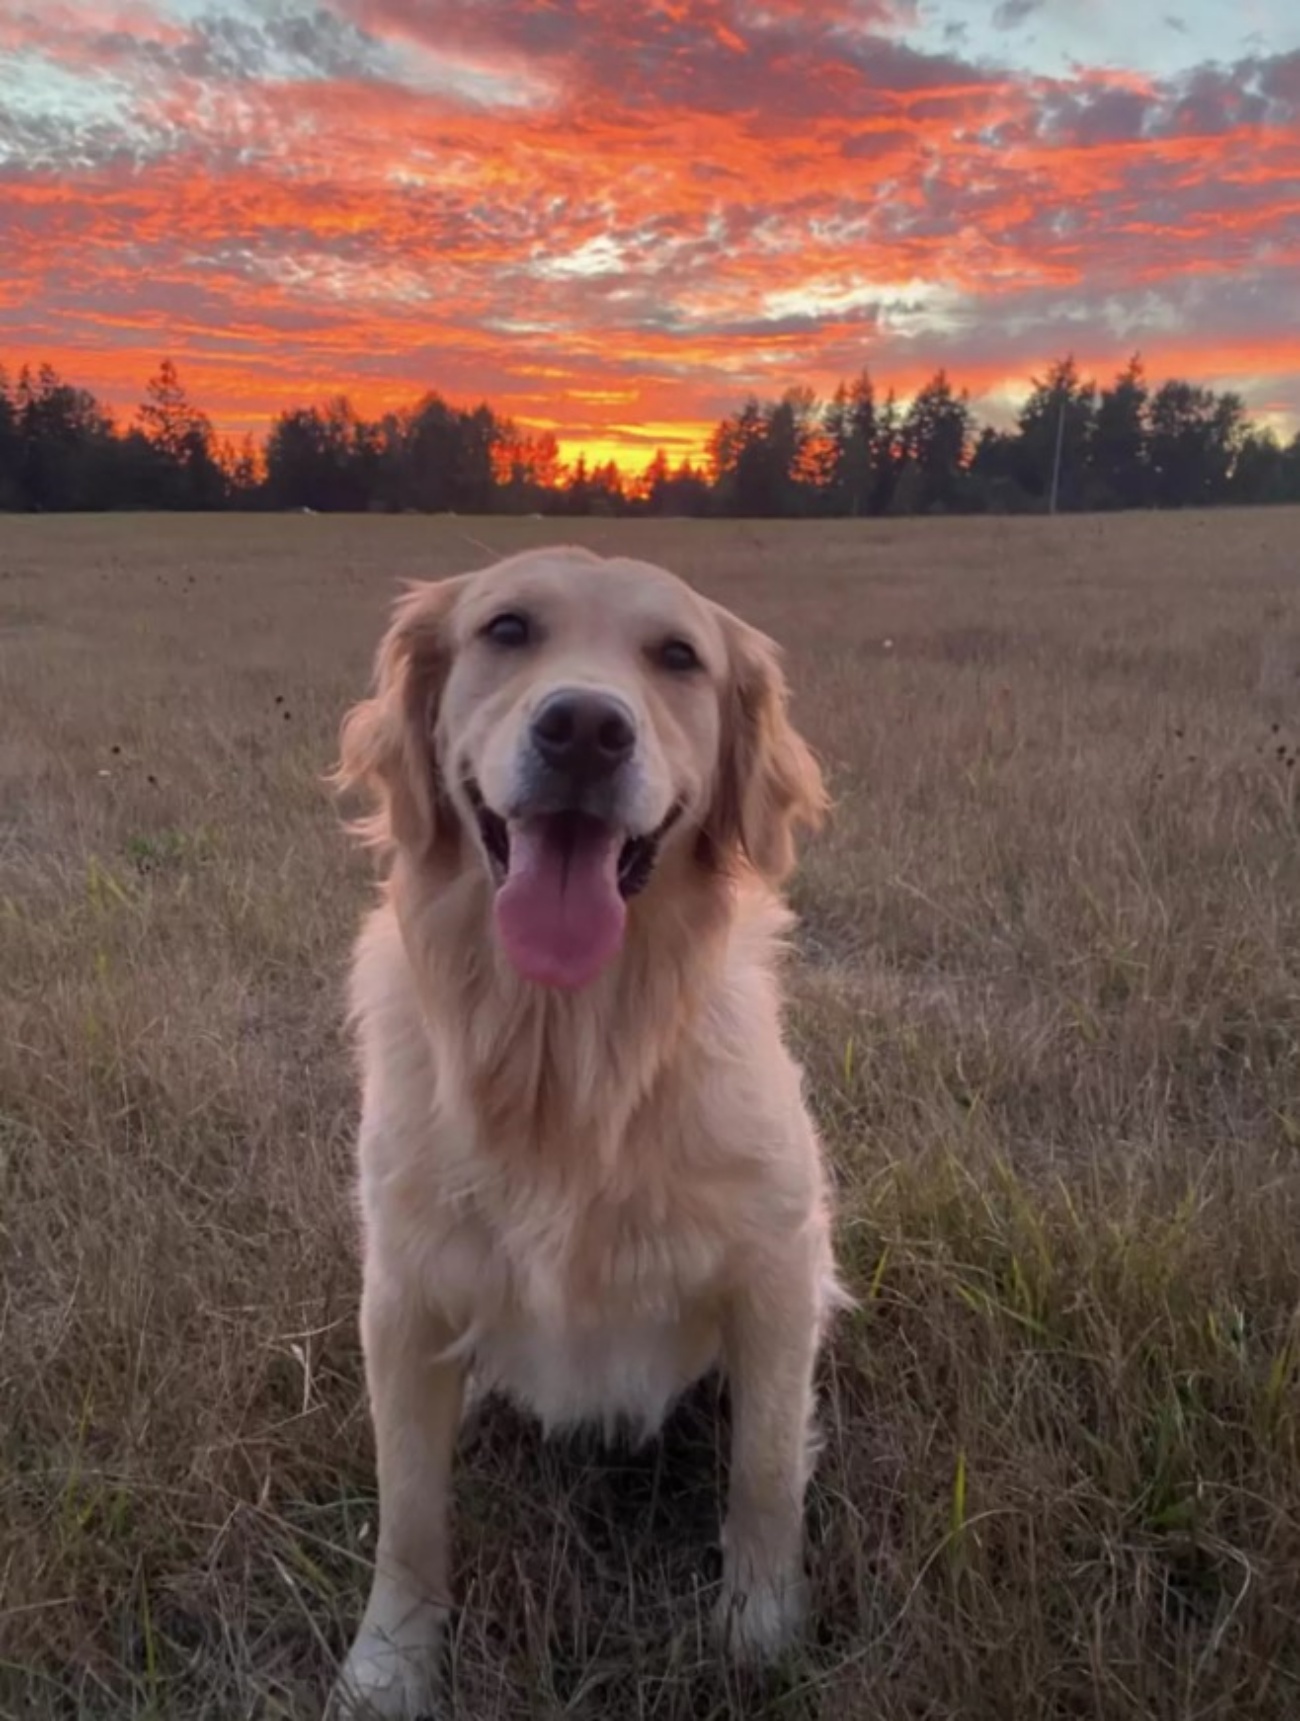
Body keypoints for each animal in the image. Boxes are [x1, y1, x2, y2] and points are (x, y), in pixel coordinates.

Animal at [327, 543, 843, 1714]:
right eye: (507, 629)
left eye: (678, 656)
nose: (584, 730)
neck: (566, 1052)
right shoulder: (404, 1292)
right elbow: (409, 1508)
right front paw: (391, 1660)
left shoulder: (778, 1268)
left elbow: (764, 1472)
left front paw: (759, 1632)